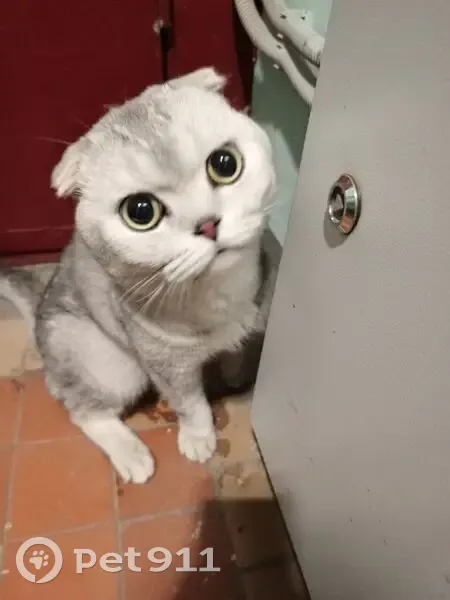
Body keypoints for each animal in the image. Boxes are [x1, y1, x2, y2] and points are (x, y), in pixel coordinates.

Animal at [0, 67, 276, 483]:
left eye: (225, 164)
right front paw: (198, 438)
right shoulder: (167, 365)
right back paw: (131, 455)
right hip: (111, 365)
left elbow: (238, 353)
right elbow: (190, 404)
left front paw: (234, 373)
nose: (208, 225)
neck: (217, 294)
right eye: (141, 211)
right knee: (83, 410)